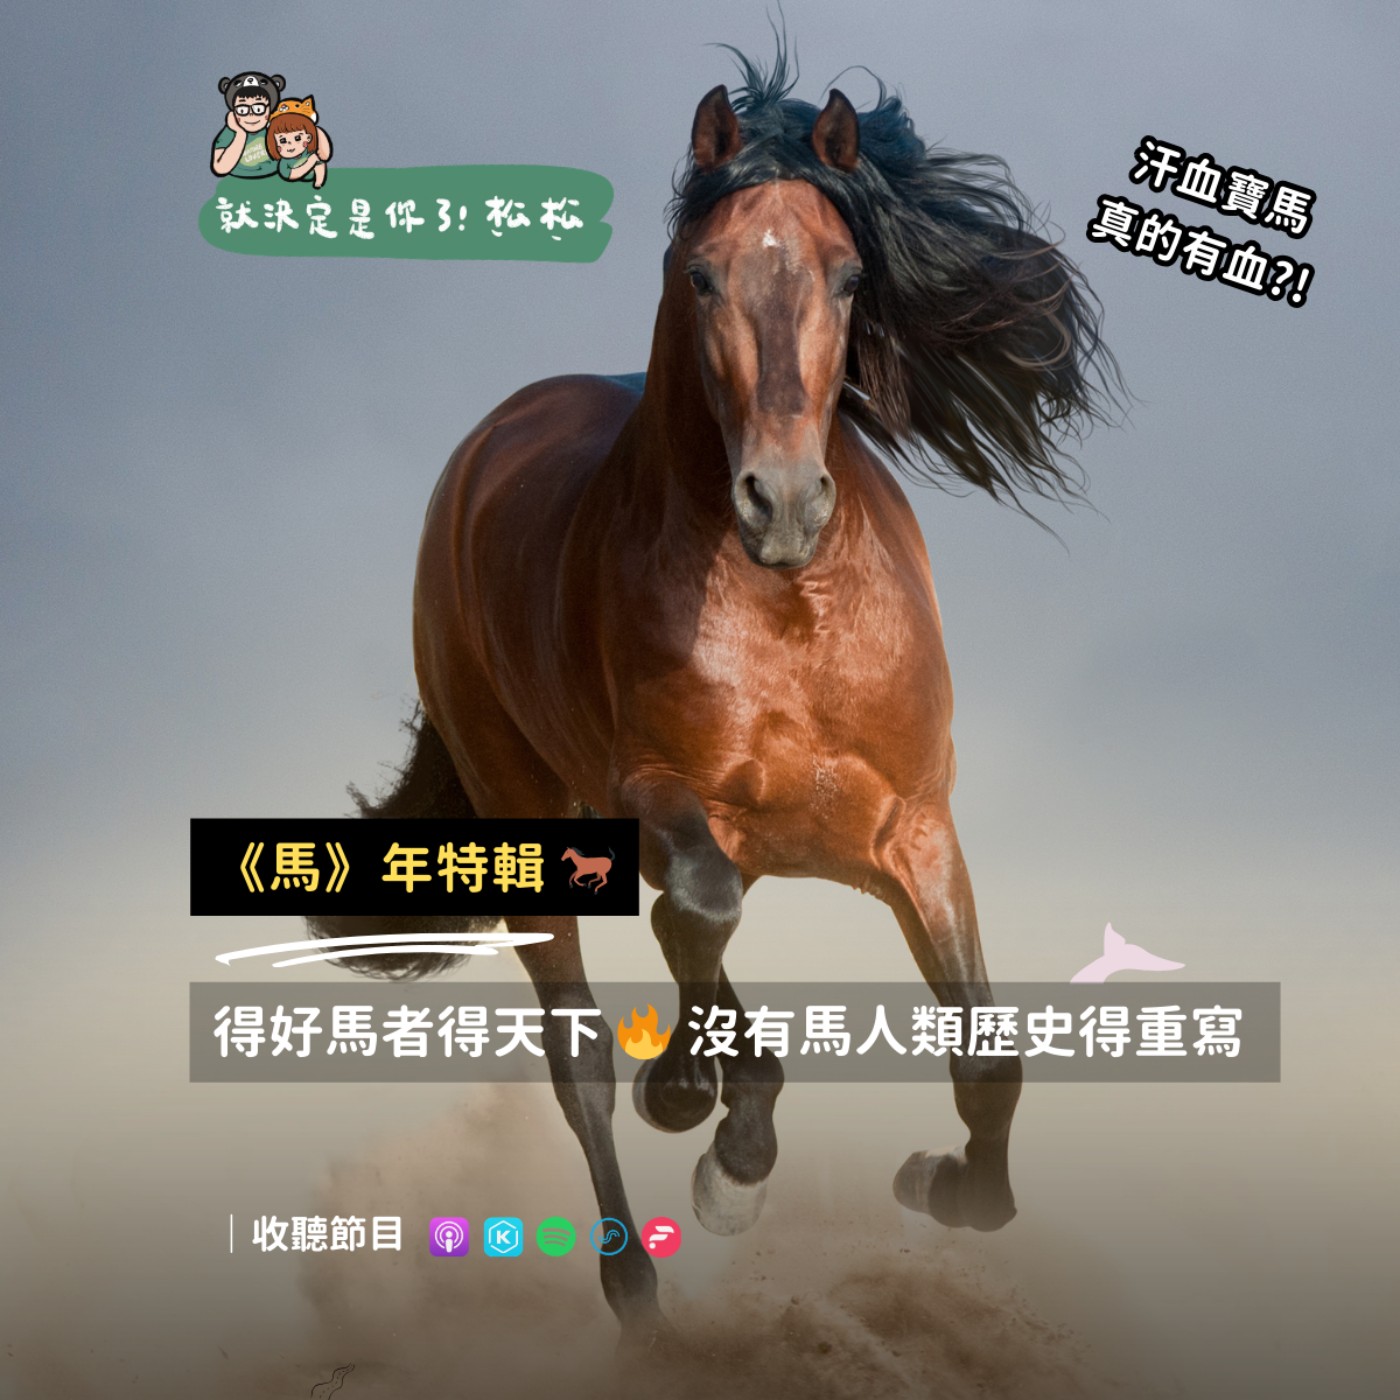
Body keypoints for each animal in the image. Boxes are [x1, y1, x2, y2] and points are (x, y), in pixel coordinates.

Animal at [309, 48, 1119, 1348]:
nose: (780, 501)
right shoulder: (655, 795)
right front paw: (701, 1117)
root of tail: (489, 443)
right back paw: (642, 1273)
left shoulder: (915, 826)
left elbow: (986, 1057)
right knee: (582, 1047)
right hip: (527, 815)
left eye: (848, 273)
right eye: (700, 274)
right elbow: (695, 910)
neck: (788, 610)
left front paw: (934, 1180)